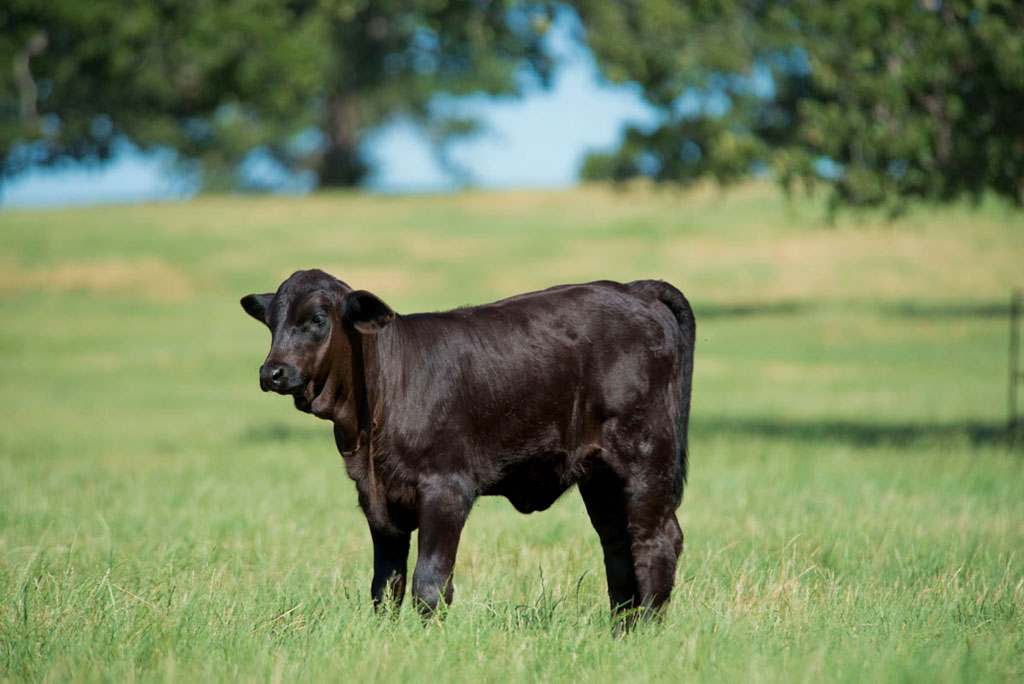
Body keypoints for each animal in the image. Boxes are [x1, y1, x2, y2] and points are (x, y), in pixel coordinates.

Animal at [241, 269, 695, 623]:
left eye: (318, 319)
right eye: (270, 323)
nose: (272, 372)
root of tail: (633, 288)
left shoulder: (446, 487)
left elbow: (430, 583)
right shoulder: (377, 499)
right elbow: (385, 585)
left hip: (645, 455)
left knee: (656, 540)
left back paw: (648, 629)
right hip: (600, 475)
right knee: (618, 546)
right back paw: (622, 631)